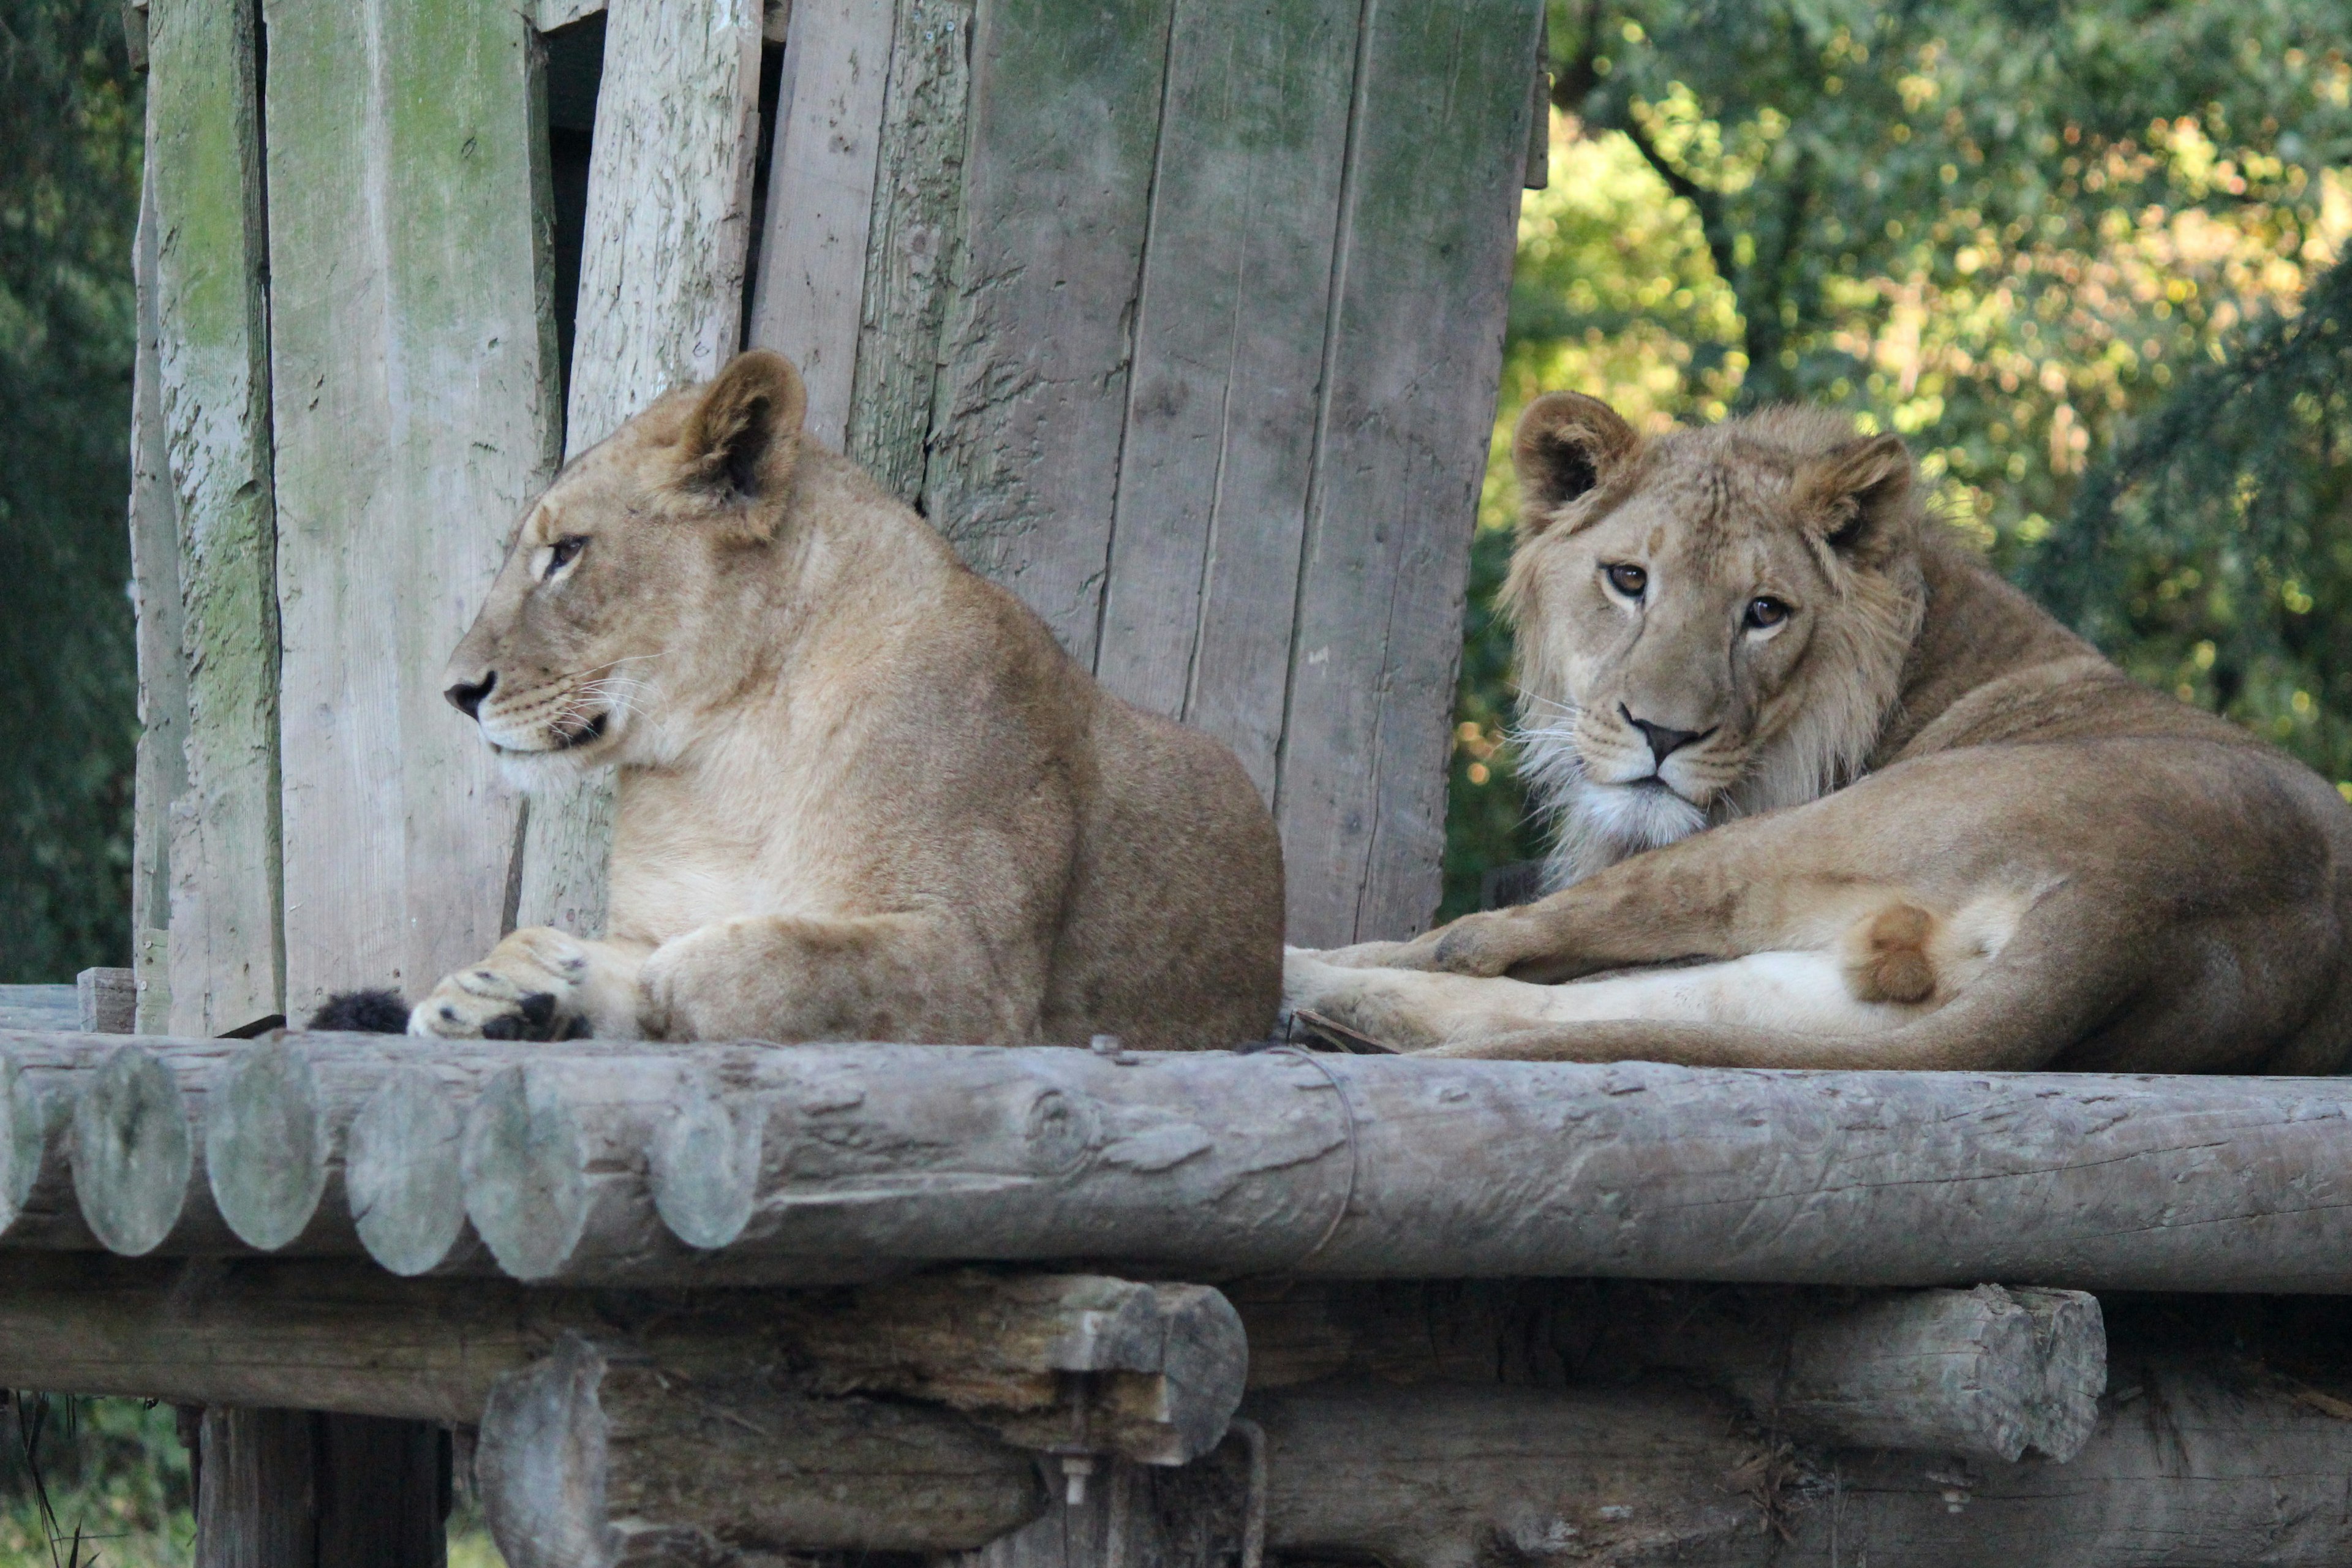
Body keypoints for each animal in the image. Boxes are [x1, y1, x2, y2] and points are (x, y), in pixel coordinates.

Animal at [413, 350, 1279, 1048]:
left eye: (567, 552)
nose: (456, 692)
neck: (728, 749)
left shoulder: (982, 974)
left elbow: (768, 964)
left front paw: (617, 986)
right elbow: (586, 946)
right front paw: (494, 992)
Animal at [1289, 399, 2352, 1072]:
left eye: (1765, 612)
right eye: (1628, 580)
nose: (1662, 733)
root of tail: (2136, 906)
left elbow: (1460, 940)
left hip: (1779, 846)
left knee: (1478, 946)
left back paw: (1314, 986)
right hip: (1831, 1000)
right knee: (1605, 1004)